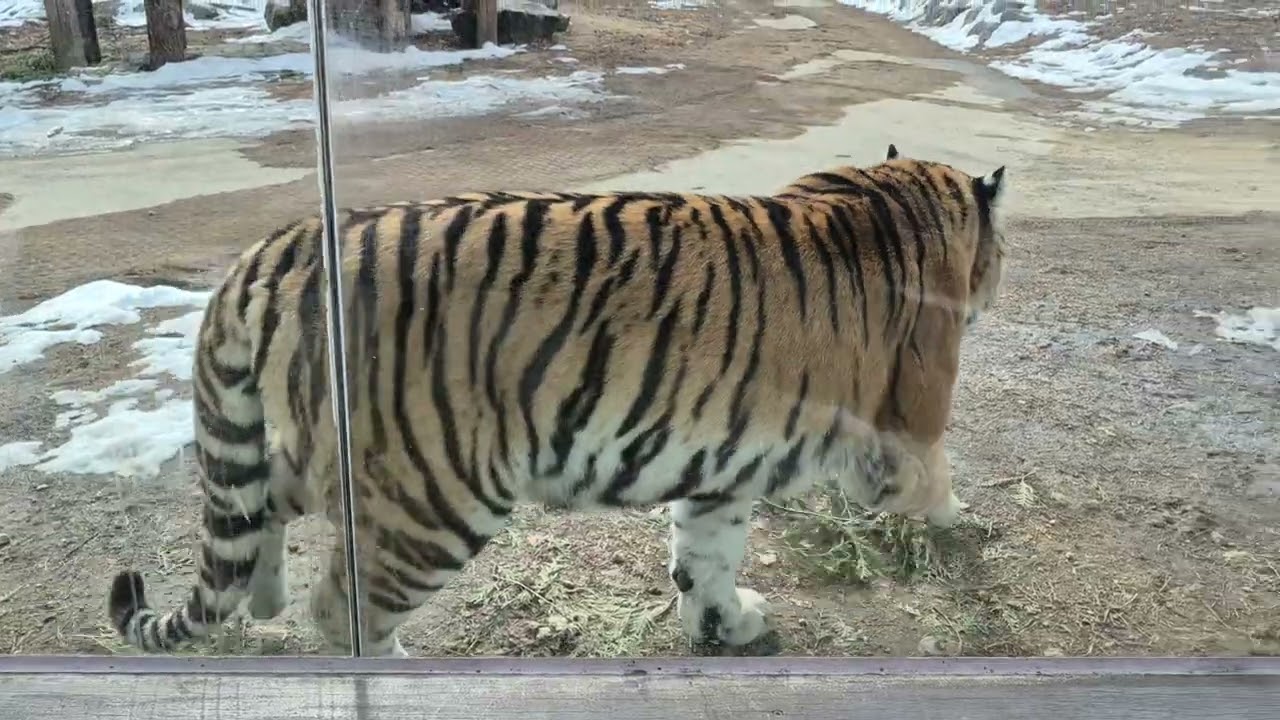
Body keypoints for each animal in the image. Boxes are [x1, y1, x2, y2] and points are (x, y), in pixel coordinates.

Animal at [107, 144, 1007, 657]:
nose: (996, 281)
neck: (896, 194)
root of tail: (284, 244)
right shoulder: (902, 422)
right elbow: (929, 477)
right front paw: (960, 520)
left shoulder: (722, 460)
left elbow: (706, 554)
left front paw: (724, 626)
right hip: (432, 494)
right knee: (342, 609)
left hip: (330, 451)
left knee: (259, 503)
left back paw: (261, 597)